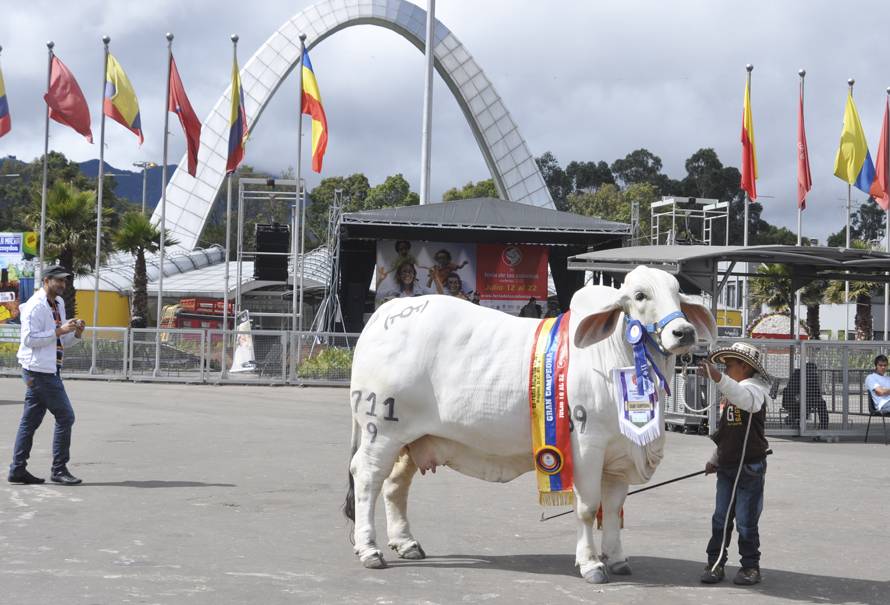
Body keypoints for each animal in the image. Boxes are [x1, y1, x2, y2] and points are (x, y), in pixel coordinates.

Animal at [340, 266, 716, 580]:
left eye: (677, 292)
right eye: (640, 296)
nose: (683, 332)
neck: (616, 356)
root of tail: (385, 314)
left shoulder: (620, 455)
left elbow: (612, 509)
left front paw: (618, 559)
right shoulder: (588, 445)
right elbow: (587, 508)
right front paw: (591, 564)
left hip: (413, 438)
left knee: (394, 485)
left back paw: (406, 542)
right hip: (381, 429)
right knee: (367, 478)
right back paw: (369, 549)